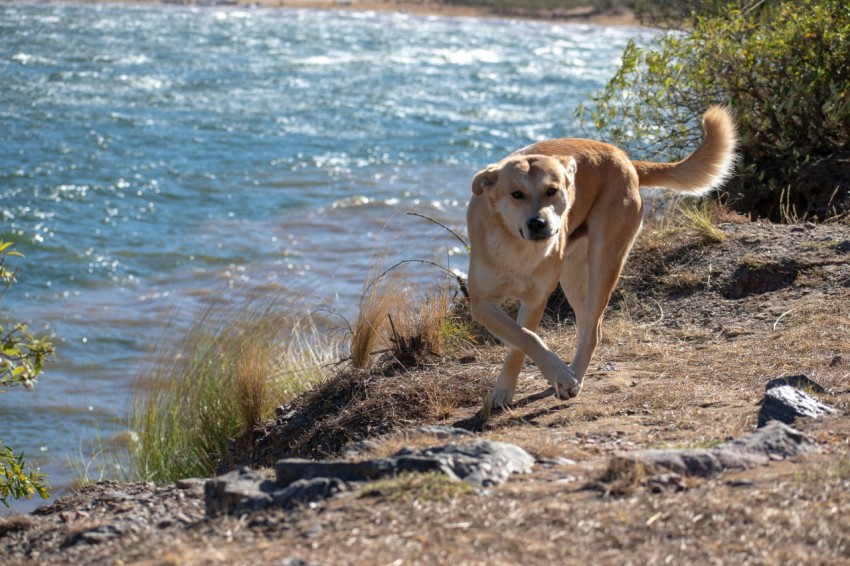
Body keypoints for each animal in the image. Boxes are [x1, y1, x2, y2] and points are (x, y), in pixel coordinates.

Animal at [464, 105, 736, 408]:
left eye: (552, 190)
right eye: (516, 194)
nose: (538, 224)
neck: (519, 248)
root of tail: (626, 160)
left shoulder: (535, 300)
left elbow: (526, 339)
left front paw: (549, 379)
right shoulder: (482, 302)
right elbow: (522, 338)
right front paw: (509, 389)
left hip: (603, 261)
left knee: (593, 331)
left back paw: (574, 376)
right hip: (572, 274)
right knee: (586, 325)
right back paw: (570, 370)